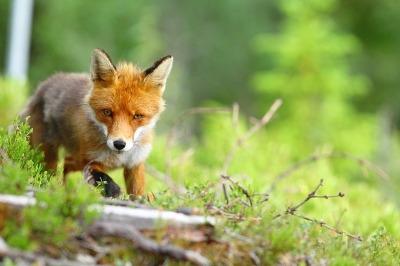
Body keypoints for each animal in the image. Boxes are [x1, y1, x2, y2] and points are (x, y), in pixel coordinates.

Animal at [18, 47, 173, 198]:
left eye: (137, 116)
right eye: (107, 112)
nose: (119, 144)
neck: (118, 157)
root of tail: (43, 85)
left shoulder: (135, 164)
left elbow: (137, 194)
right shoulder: (88, 161)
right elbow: (100, 177)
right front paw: (113, 190)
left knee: (67, 163)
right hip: (48, 156)